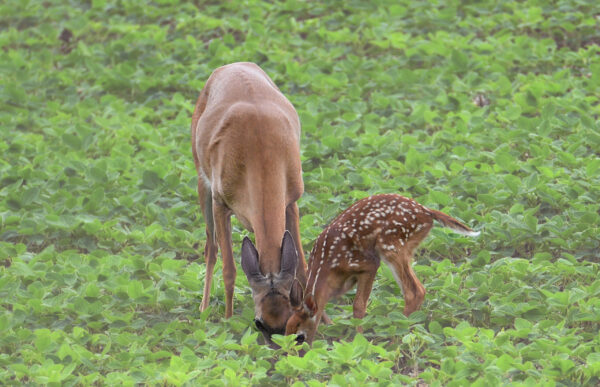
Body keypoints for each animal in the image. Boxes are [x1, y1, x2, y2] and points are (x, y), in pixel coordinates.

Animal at [191, 63, 308, 346]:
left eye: (289, 322)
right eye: (259, 323)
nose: (278, 349)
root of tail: (231, 65)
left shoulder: (291, 201)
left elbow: (302, 265)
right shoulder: (220, 204)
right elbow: (230, 270)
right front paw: (228, 321)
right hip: (202, 185)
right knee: (210, 248)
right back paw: (203, 309)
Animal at [284, 194, 478, 346]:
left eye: (300, 337)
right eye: (285, 332)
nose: (294, 356)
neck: (327, 269)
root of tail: (427, 211)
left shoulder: (368, 264)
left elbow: (358, 306)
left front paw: (359, 341)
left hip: (391, 245)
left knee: (414, 291)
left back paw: (394, 339)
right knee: (418, 289)